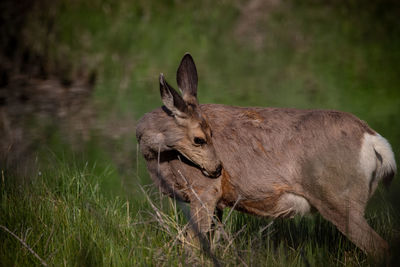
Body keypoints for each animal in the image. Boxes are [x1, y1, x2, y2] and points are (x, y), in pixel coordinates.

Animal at [136, 52, 396, 260]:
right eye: (200, 138)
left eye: (207, 136)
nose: (217, 169)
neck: (161, 161)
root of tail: (373, 139)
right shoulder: (218, 202)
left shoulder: (205, 190)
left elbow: (193, 243)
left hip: (340, 198)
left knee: (381, 247)